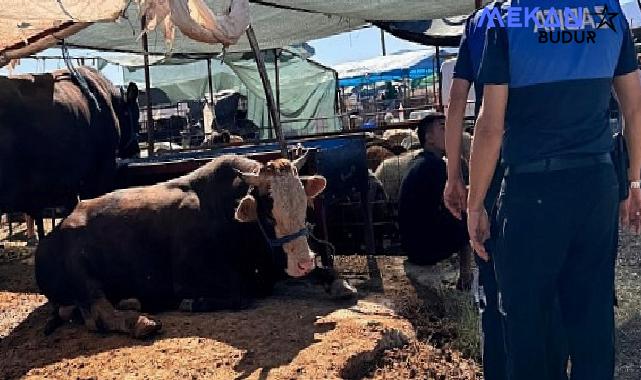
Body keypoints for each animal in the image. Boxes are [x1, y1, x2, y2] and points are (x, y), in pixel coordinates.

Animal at [35, 153, 356, 336]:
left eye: (304, 204)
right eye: (268, 212)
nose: (303, 262)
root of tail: (57, 229)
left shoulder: (274, 263)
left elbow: (326, 271)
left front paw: (339, 283)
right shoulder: (191, 279)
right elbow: (241, 296)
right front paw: (192, 303)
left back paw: (131, 302)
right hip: (81, 273)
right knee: (97, 314)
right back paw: (139, 321)